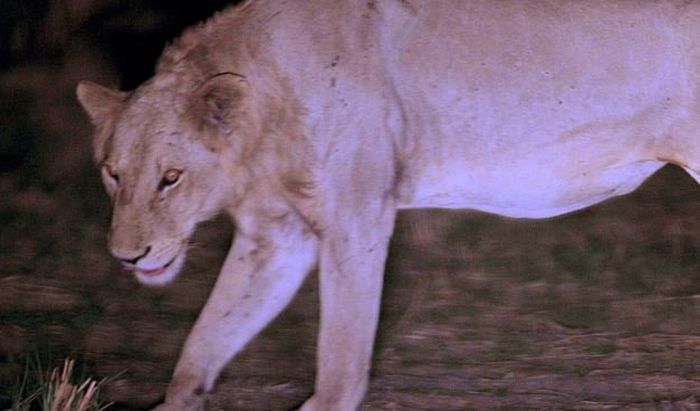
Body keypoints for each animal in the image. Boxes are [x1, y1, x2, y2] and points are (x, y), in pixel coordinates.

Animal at [76, 0, 700, 410]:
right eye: (113, 173)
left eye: (170, 178)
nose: (127, 257)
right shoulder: (275, 239)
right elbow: (205, 342)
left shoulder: (356, 220)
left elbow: (341, 358)